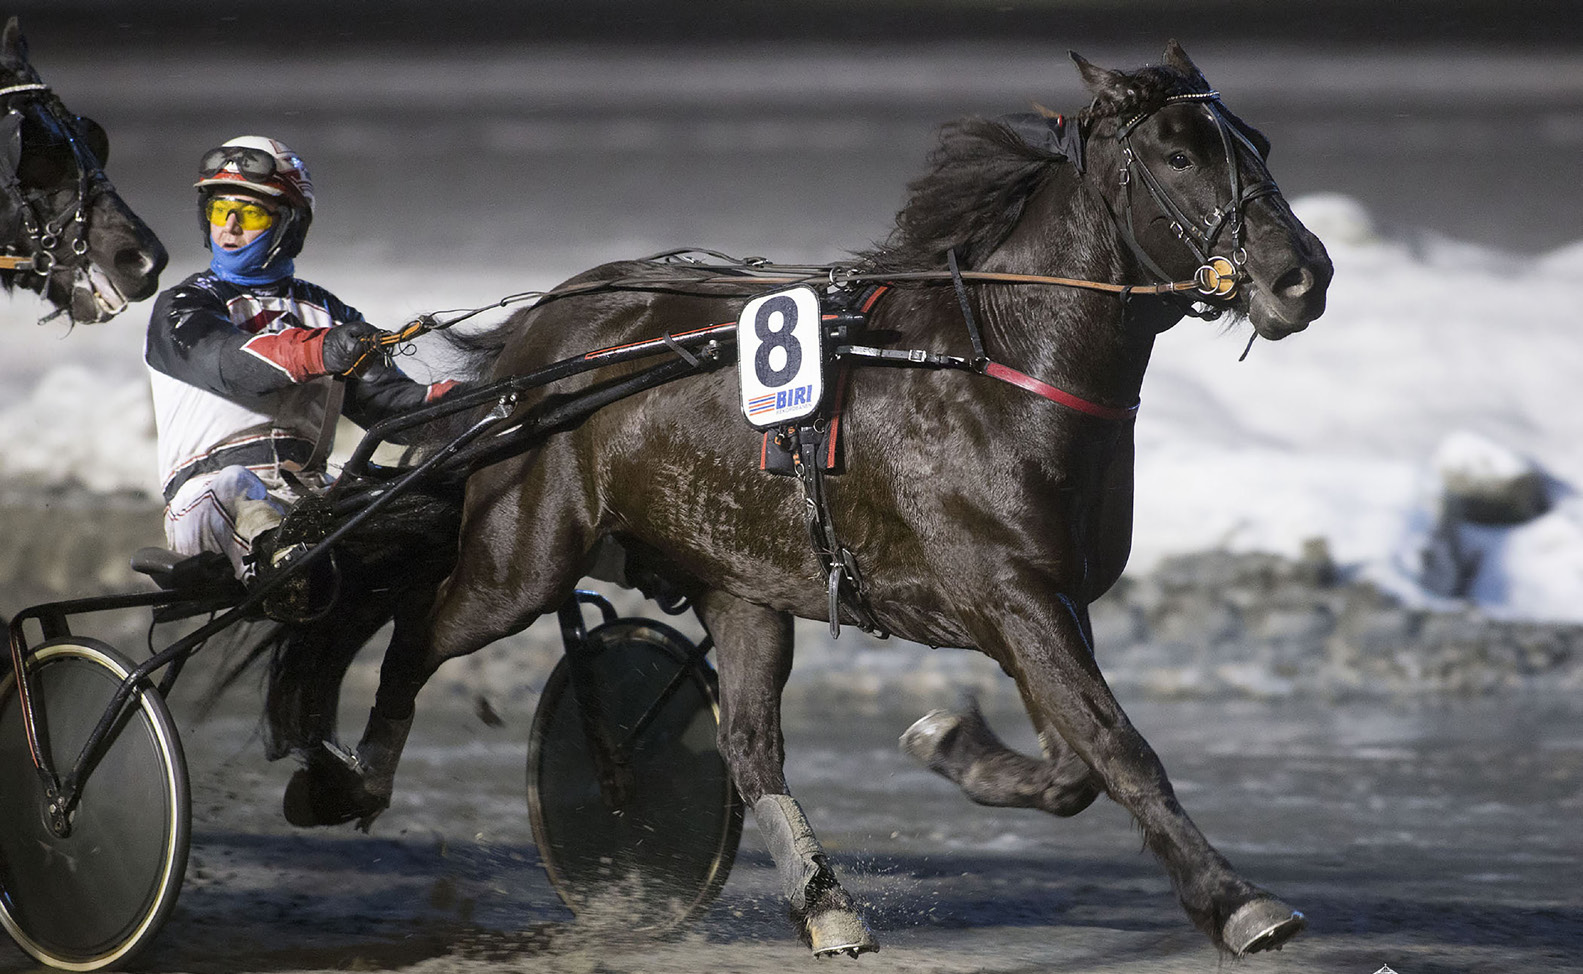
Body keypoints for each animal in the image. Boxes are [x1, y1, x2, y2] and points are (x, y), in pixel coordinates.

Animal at [281, 43, 1323, 962]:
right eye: (1179, 155)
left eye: (1259, 143)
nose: (1301, 275)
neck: (1000, 361)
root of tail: (544, 328)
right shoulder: (1008, 592)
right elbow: (1119, 748)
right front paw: (1238, 904)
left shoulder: (1044, 597)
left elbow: (1074, 766)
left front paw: (951, 742)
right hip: (521, 557)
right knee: (418, 632)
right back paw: (349, 783)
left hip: (739, 584)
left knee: (747, 748)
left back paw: (827, 908)